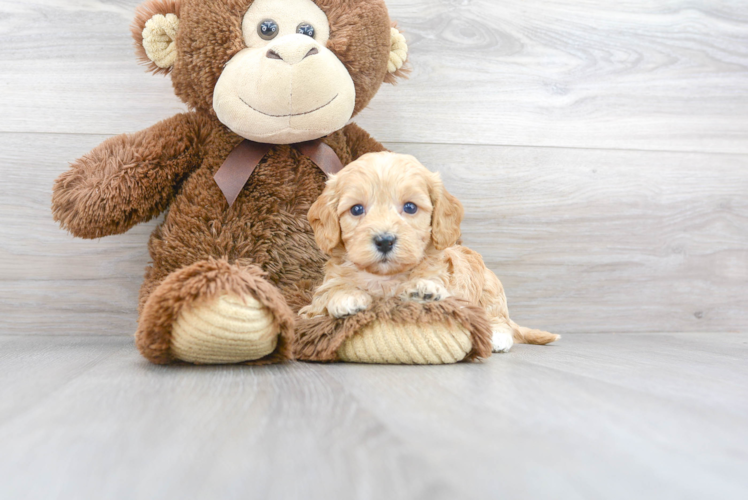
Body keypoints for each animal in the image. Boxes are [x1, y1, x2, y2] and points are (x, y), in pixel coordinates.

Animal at [300, 152, 560, 352]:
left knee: (498, 318)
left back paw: (497, 337)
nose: (384, 241)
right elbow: (325, 297)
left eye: (410, 207)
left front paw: (424, 290)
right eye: (356, 209)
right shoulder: (314, 303)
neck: (386, 278)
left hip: (490, 287)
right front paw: (345, 296)